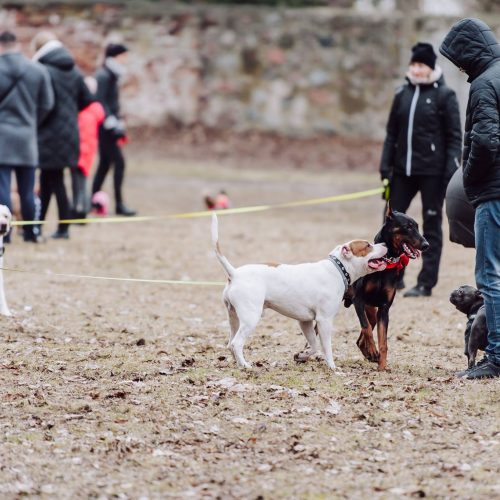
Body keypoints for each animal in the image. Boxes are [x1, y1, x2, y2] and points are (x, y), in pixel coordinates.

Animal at [210, 213, 386, 370]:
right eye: (368, 245)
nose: (384, 244)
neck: (338, 269)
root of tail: (235, 274)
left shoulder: (305, 321)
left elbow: (313, 346)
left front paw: (301, 356)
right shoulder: (324, 321)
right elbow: (326, 347)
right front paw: (333, 367)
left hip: (234, 318)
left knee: (230, 344)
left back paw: (237, 363)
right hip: (250, 317)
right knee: (236, 343)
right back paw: (245, 365)